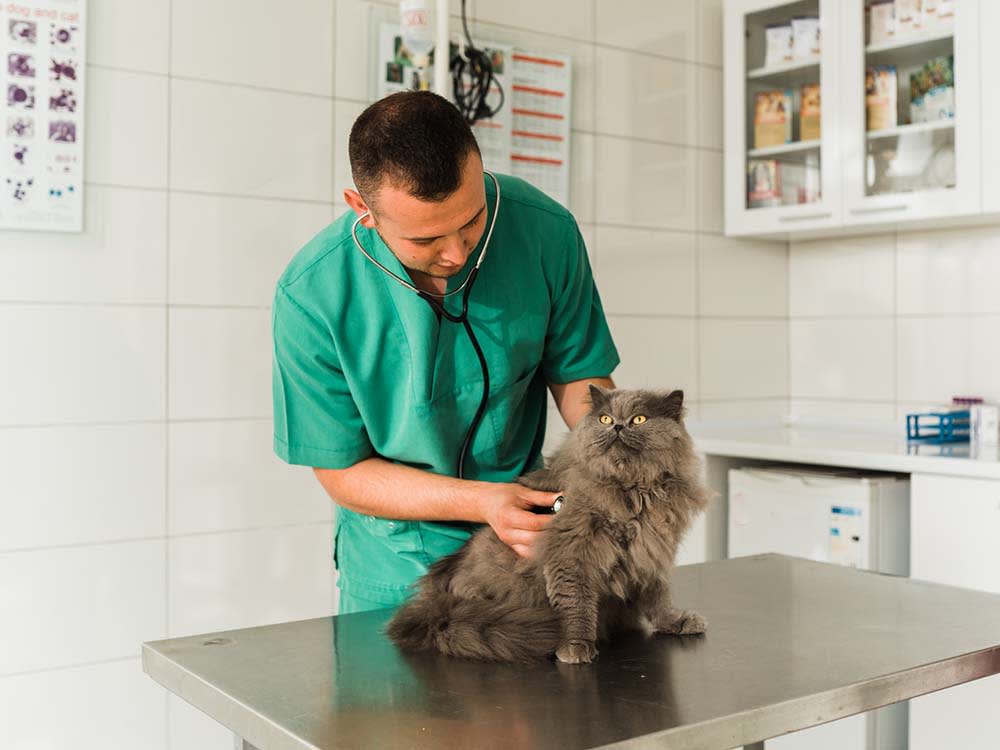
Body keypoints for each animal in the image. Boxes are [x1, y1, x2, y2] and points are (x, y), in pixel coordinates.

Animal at [388, 388, 712, 664]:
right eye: (605, 418)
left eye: (639, 419)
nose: (617, 427)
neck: (633, 491)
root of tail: (435, 600)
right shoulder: (571, 555)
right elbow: (576, 605)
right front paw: (575, 647)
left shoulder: (652, 552)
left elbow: (659, 599)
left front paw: (675, 621)